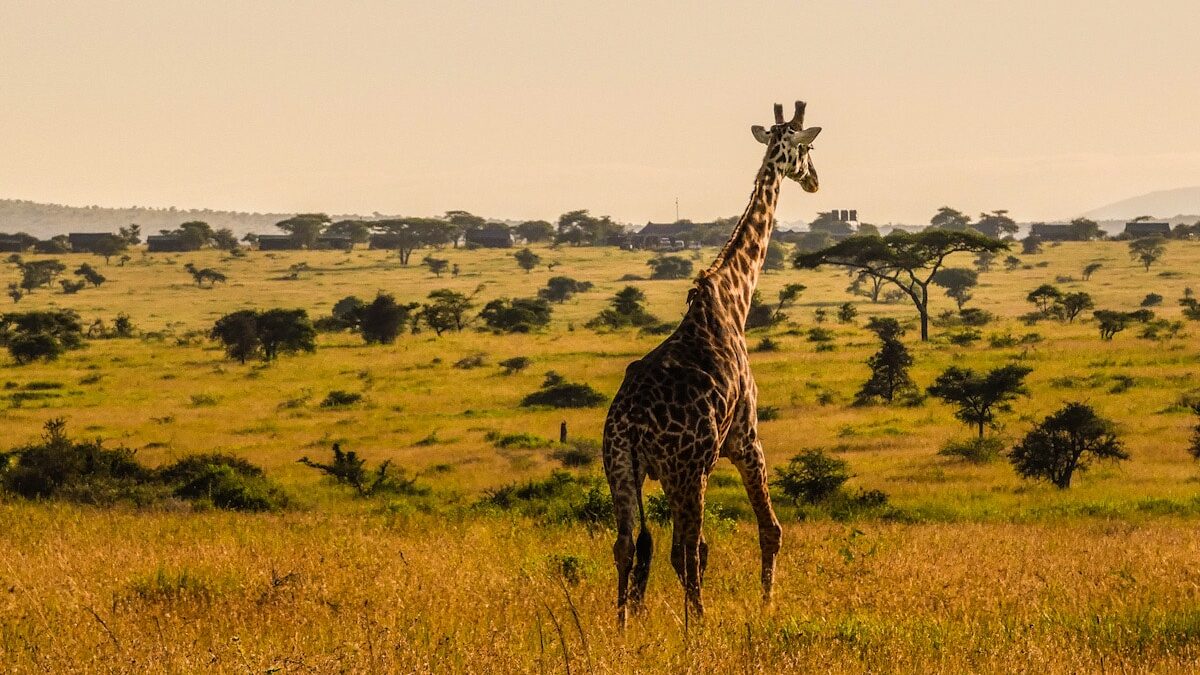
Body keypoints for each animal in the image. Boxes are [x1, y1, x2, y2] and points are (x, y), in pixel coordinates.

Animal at [604, 100, 820, 624]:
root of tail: (630, 425)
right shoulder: (745, 438)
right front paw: (767, 604)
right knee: (684, 548)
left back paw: (621, 625)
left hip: (621, 467)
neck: (732, 299)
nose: (814, 181)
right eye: (807, 150)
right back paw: (697, 624)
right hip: (686, 470)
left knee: (627, 544)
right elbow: (771, 529)